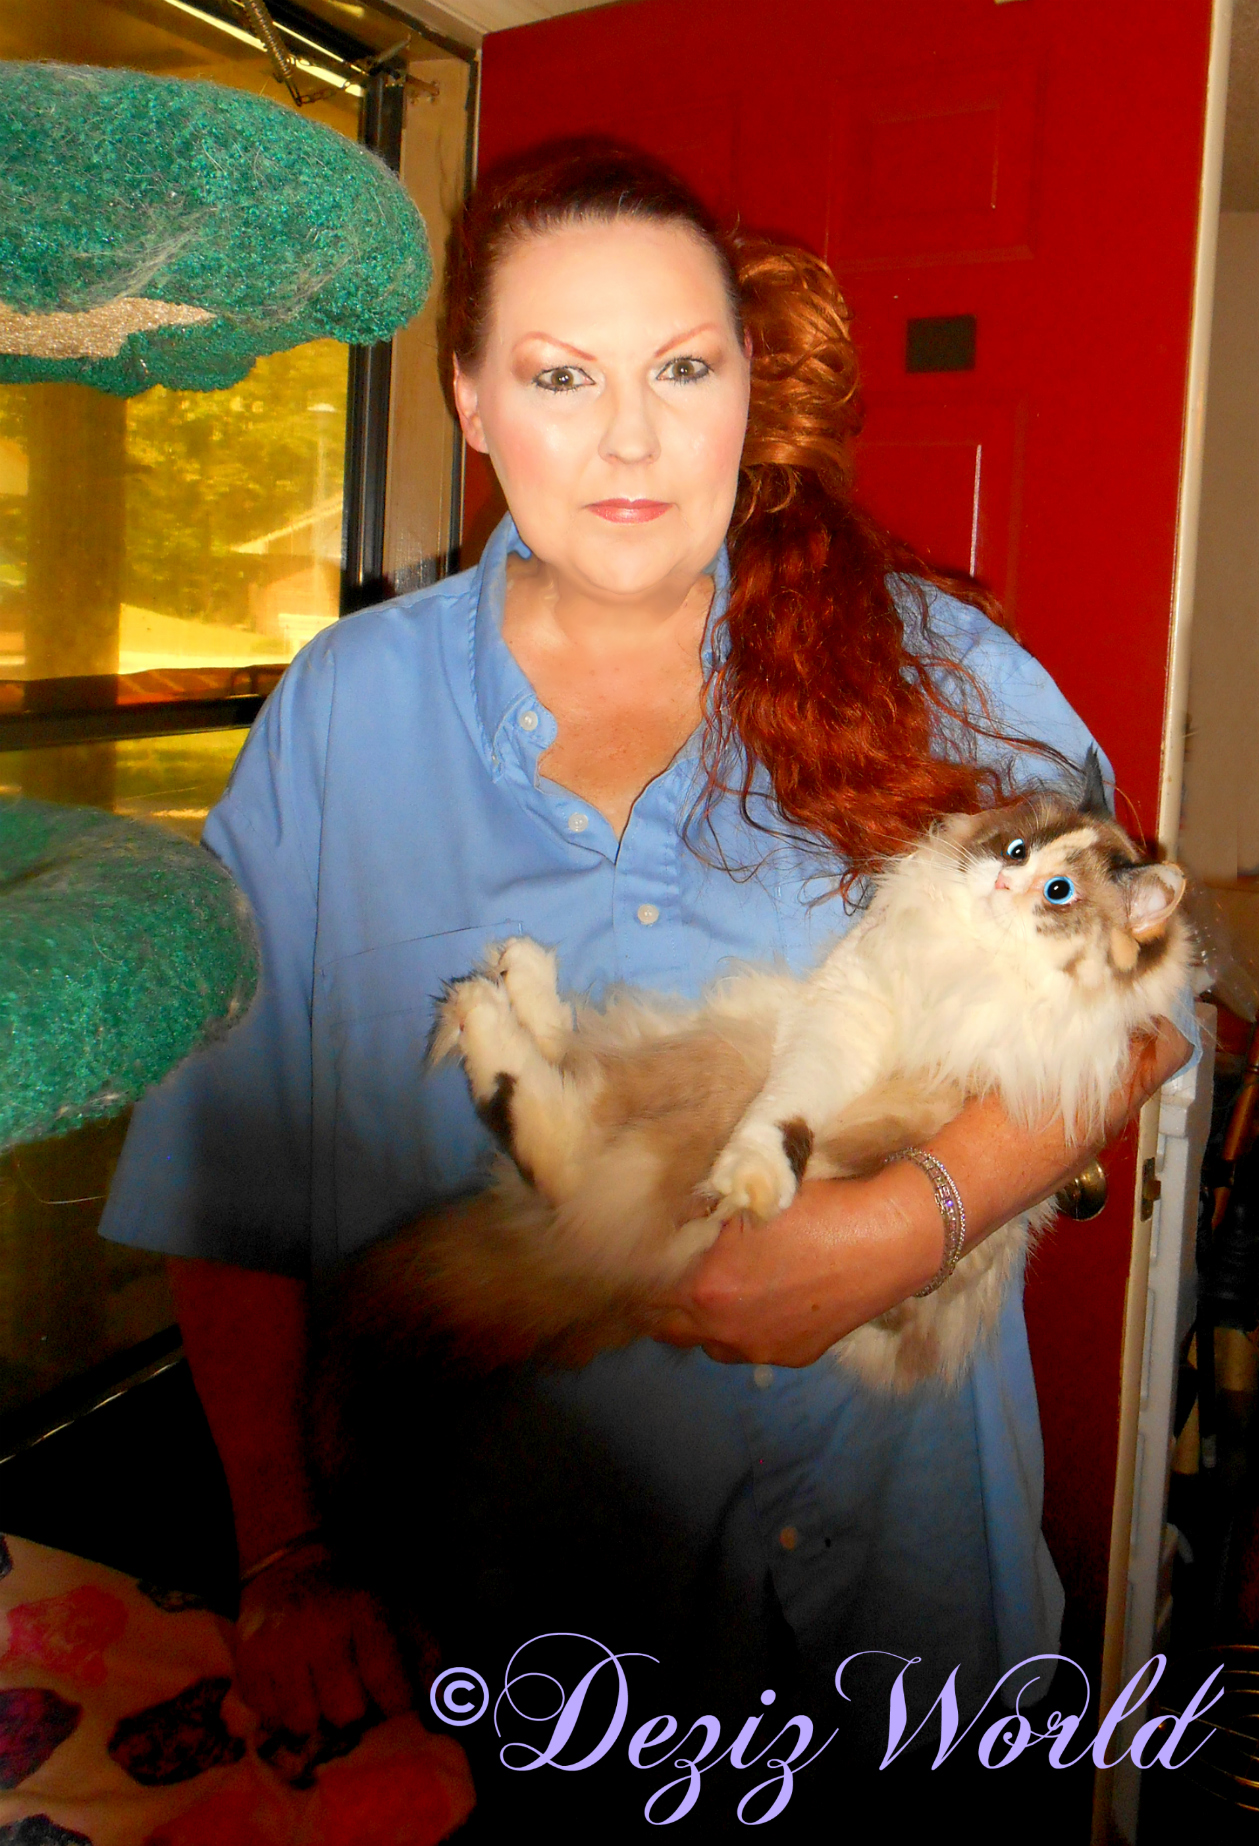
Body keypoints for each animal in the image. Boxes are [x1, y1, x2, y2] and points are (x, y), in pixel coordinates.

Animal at [366, 757, 1191, 1392]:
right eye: (1015, 850)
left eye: (1058, 893)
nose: (1000, 886)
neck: (969, 963)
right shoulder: (847, 1011)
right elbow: (783, 1112)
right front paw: (756, 1171)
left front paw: (753, 1183)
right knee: (566, 1082)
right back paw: (515, 976)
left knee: (560, 1150)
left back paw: (489, 1007)